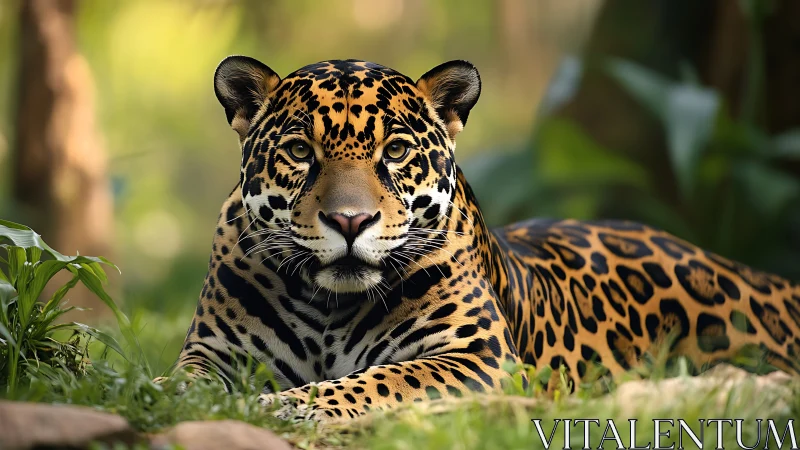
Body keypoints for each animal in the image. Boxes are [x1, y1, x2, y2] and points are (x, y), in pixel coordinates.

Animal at [172, 55, 800, 422]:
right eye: (301, 151)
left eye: (394, 151)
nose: (350, 222)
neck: (330, 304)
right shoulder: (215, 351)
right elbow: (181, 380)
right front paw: (162, 394)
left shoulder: (479, 357)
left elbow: (376, 380)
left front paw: (279, 406)